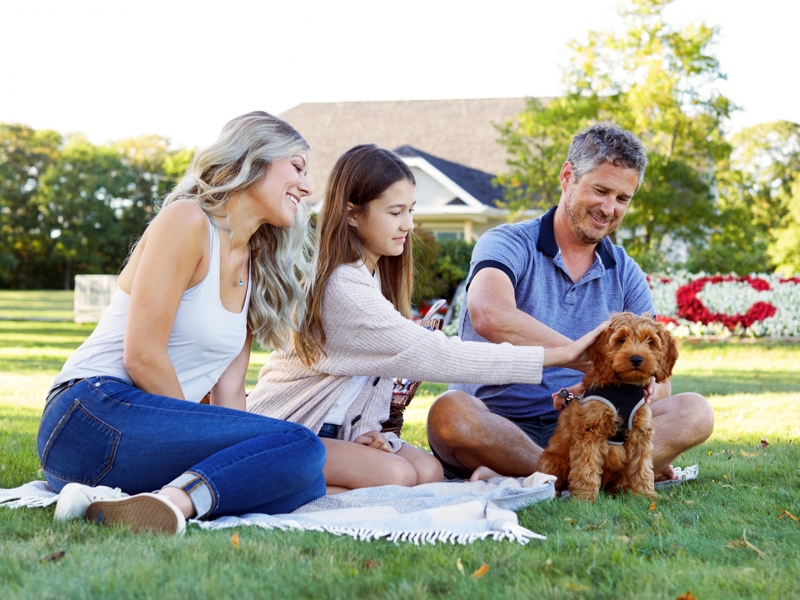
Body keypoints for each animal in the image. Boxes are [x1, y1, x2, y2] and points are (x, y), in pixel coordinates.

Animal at [536, 314, 676, 502]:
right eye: (621, 339)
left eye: (650, 341)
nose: (637, 359)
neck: (624, 387)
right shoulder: (590, 431)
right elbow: (586, 466)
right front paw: (585, 498)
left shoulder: (640, 432)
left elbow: (642, 465)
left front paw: (645, 494)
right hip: (555, 461)